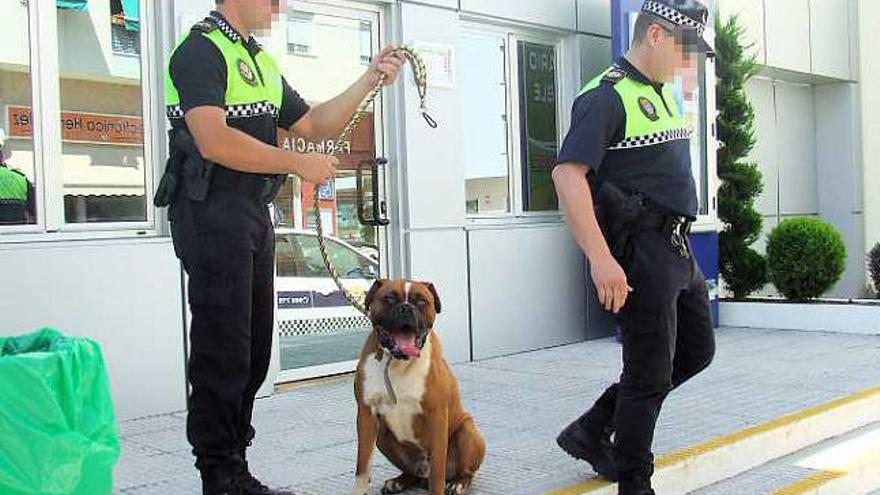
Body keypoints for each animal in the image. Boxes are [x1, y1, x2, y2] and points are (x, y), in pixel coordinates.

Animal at [352, 280, 488, 495]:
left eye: (422, 301)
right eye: (389, 298)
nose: (406, 308)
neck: (397, 363)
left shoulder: (437, 416)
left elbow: (438, 473)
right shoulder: (366, 415)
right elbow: (362, 466)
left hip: (467, 431)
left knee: (464, 472)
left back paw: (458, 483)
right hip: (382, 436)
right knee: (412, 474)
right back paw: (399, 481)